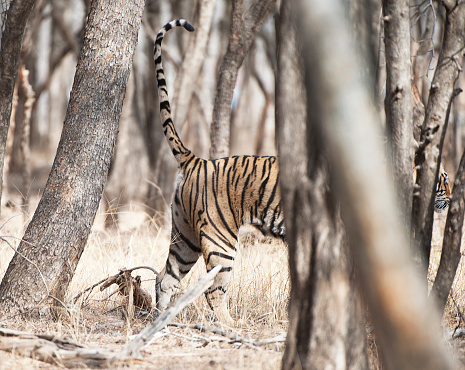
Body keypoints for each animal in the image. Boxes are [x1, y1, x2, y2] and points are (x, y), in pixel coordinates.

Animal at [153, 19, 282, 324]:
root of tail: (195, 160)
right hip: (220, 241)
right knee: (213, 290)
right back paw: (230, 326)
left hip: (185, 238)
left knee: (165, 278)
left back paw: (160, 321)